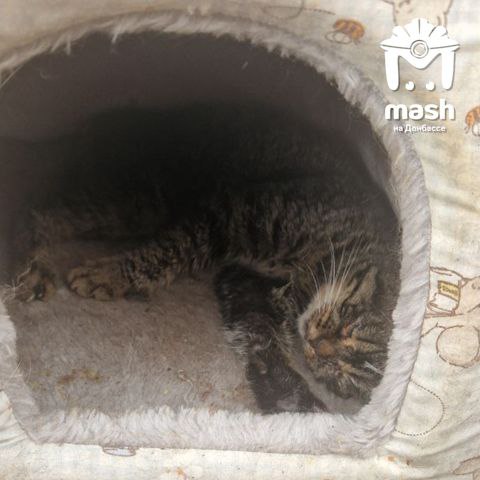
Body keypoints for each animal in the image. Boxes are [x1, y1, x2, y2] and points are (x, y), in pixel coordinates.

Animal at [12, 173, 400, 414]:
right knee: (48, 210)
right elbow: (171, 250)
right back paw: (32, 265)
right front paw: (111, 274)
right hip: (144, 201)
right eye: (348, 318)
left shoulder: (245, 282)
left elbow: (261, 335)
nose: (318, 348)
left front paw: (288, 394)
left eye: (346, 377)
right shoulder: (228, 214)